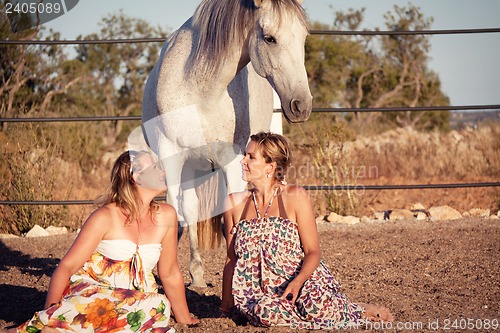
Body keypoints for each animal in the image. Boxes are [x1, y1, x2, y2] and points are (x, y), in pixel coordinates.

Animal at [142, 0, 312, 286]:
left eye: (303, 37)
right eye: (270, 38)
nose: (302, 105)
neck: (201, 91)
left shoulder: (233, 161)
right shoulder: (171, 155)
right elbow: (175, 213)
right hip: (191, 167)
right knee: (190, 209)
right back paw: (196, 275)